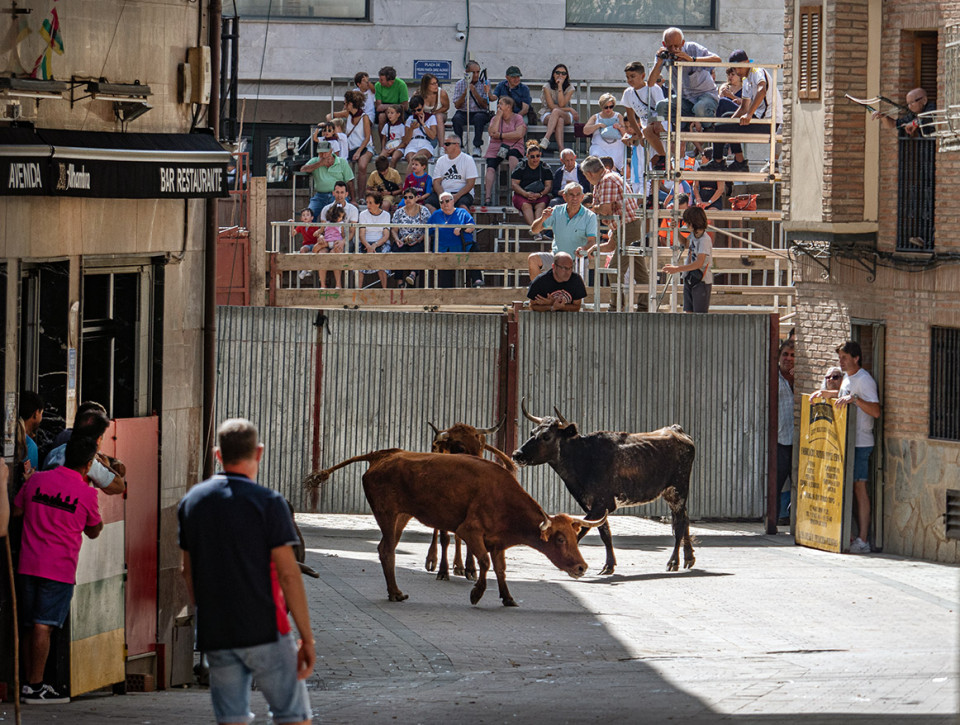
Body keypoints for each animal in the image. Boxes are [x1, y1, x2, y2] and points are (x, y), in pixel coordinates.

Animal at [310, 448, 604, 606]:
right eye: (559, 539)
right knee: (386, 550)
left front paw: (508, 598)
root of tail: (384, 455)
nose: (581, 567)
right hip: (387, 514)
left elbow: (500, 568)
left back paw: (395, 591)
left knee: (387, 548)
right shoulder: (470, 532)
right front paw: (476, 593)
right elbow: (484, 562)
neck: (502, 496)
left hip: (401, 516)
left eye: (575, 537)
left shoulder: (497, 541)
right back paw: (394, 593)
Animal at [425, 417, 514, 580]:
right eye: (460, 448)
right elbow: (444, 538)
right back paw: (431, 560)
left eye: (479, 446)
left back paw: (459, 566)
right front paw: (443, 571)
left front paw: (471, 569)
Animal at [513, 399, 696, 575]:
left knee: (679, 523)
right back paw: (689, 558)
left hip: (679, 489)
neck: (584, 456)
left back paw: (673, 562)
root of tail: (676, 430)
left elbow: (582, 531)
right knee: (685, 518)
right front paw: (609, 565)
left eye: (546, 436)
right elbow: (604, 533)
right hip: (670, 493)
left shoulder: (603, 503)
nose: (517, 454)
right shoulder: (592, 505)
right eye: (532, 433)